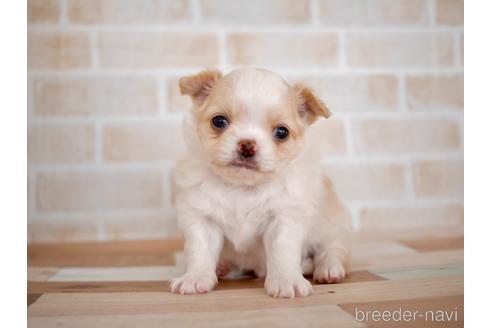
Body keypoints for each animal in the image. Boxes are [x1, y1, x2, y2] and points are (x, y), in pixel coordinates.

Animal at [171, 68, 352, 298]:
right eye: (219, 121)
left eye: (282, 132)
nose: (247, 145)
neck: (242, 187)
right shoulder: (202, 219)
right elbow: (200, 250)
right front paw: (195, 277)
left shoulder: (285, 218)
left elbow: (282, 251)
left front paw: (286, 280)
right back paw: (222, 266)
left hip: (333, 226)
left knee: (332, 250)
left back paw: (328, 270)